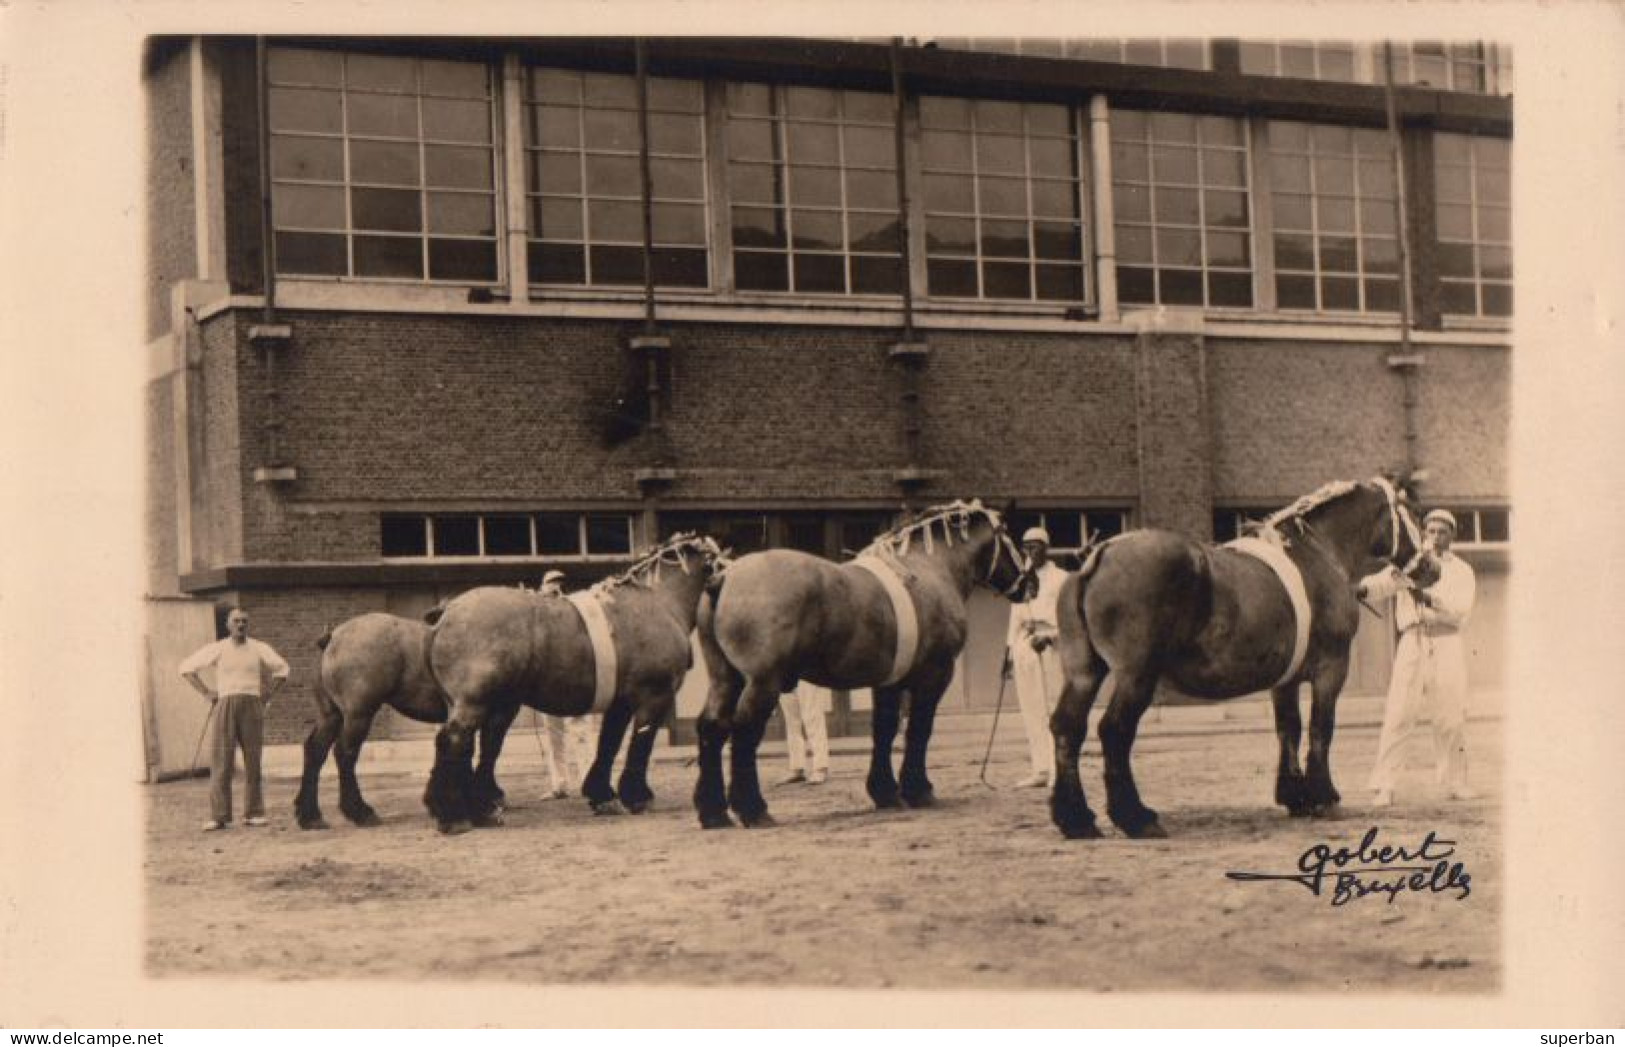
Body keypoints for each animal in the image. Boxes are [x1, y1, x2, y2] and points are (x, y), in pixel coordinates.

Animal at [422, 533, 728, 832]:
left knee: (483, 747)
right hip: (475, 703)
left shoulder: (620, 703)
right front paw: (637, 796)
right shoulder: (654, 696)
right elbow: (641, 743)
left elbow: (609, 744)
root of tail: (449, 610)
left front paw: (603, 796)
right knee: (454, 741)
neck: (659, 602)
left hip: (496, 704)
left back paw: (479, 811)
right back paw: (453, 817)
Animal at [695, 497, 1027, 825]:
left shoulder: (890, 682)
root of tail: (725, 576)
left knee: (712, 728)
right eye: (1010, 535)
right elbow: (919, 729)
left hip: (726, 679)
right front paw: (919, 790)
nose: (1031, 582)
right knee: (743, 733)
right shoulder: (934, 676)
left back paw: (714, 812)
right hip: (762, 683)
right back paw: (753, 809)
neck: (928, 568)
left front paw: (885, 793)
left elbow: (884, 730)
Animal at [1040, 477, 1436, 838]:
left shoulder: (1285, 680)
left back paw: (1076, 818)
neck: (1317, 553)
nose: (1432, 568)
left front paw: (1296, 798)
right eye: (1413, 513)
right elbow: (1321, 728)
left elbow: (1288, 728)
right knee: (1114, 731)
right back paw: (1135, 817)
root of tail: (1100, 555)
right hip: (1135, 677)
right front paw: (1324, 798)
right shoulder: (1331, 670)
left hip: (1084, 673)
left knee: (1067, 728)